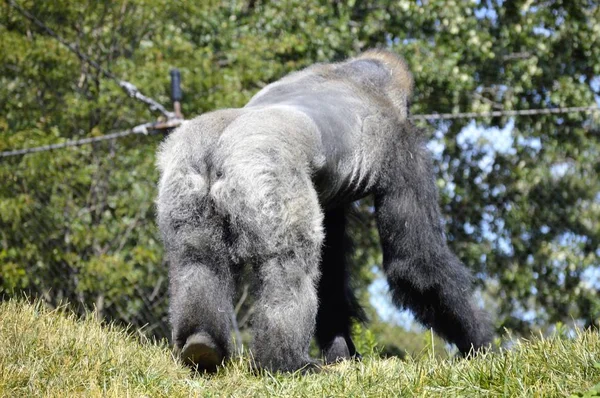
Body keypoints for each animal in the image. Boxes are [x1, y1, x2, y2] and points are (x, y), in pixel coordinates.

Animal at [156, 49, 492, 374]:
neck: (358, 72)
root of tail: (217, 144)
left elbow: (331, 274)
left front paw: (341, 351)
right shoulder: (405, 149)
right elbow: (416, 264)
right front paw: (482, 345)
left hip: (185, 168)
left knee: (197, 257)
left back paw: (202, 344)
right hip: (263, 165)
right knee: (290, 261)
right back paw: (284, 361)